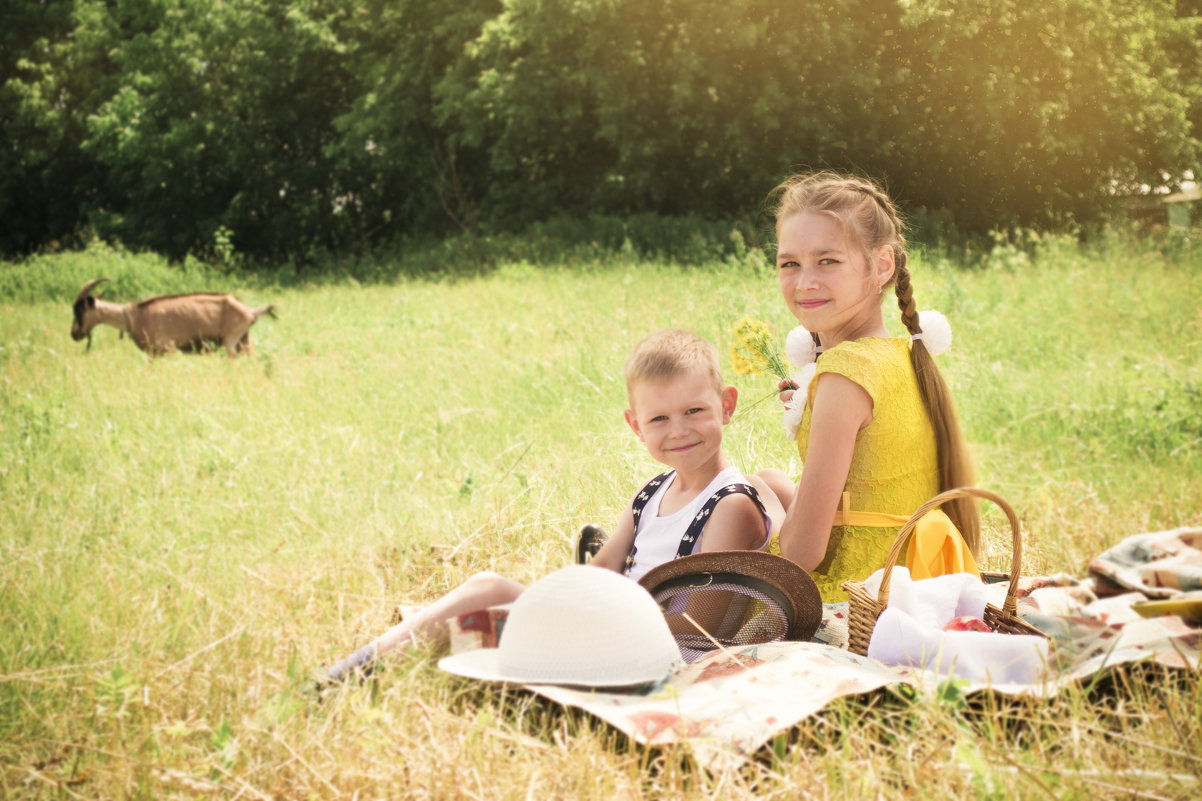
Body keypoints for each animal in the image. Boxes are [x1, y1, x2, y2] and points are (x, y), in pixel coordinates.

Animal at [72, 279, 276, 356]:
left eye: (79, 310)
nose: (74, 334)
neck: (132, 316)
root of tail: (250, 312)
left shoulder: (166, 349)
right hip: (244, 341)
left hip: (230, 343)